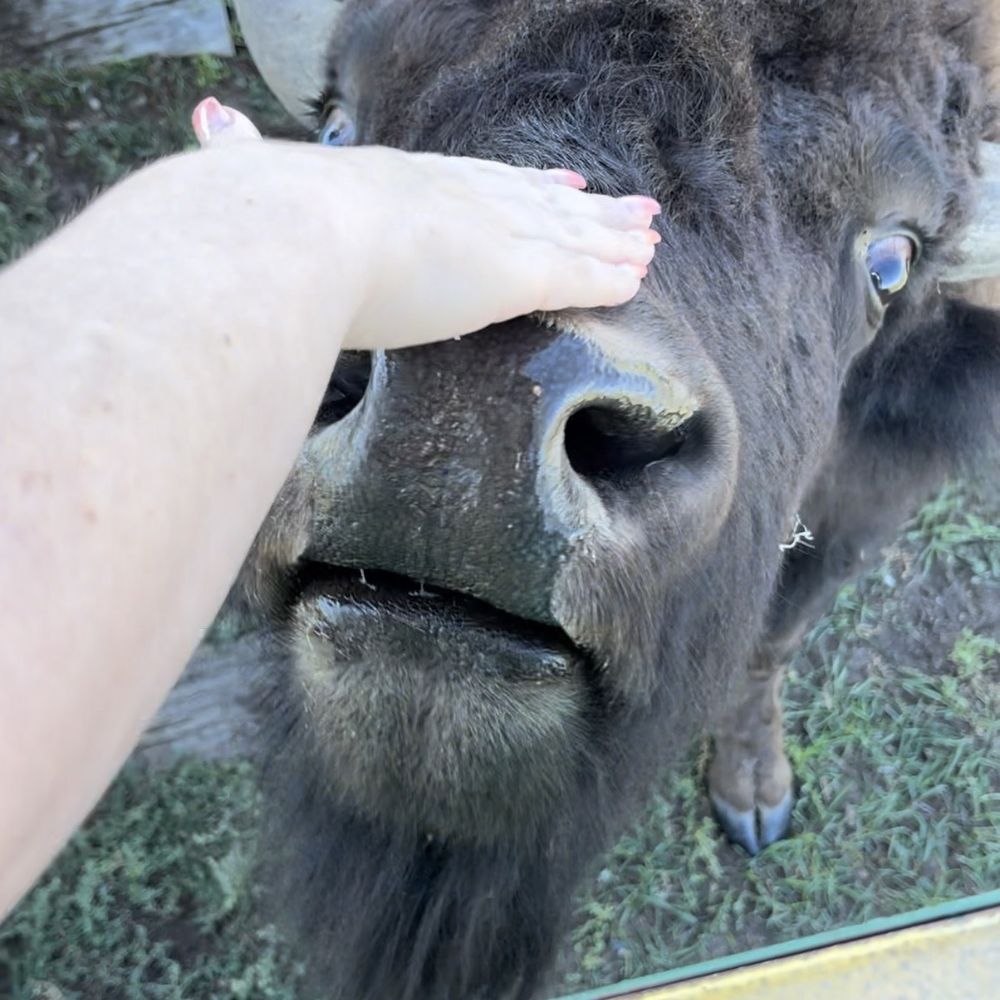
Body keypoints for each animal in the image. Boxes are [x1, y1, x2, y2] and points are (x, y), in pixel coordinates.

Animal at [230, 1, 1000, 997]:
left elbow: (775, 637)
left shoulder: (872, 491)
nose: (469, 418)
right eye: (336, 130)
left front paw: (754, 795)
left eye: (890, 261)